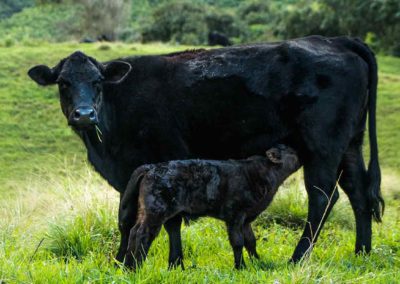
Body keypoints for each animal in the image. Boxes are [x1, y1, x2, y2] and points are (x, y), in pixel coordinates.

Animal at [122, 145, 300, 270]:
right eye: (291, 151)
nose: (301, 154)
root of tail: (151, 167)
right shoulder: (235, 215)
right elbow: (238, 241)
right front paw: (241, 267)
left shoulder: (246, 219)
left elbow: (251, 241)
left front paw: (258, 262)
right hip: (156, 211)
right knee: (142, 234)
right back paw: (136, 268)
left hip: (147, 211)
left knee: (134, 231)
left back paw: (128, 268)